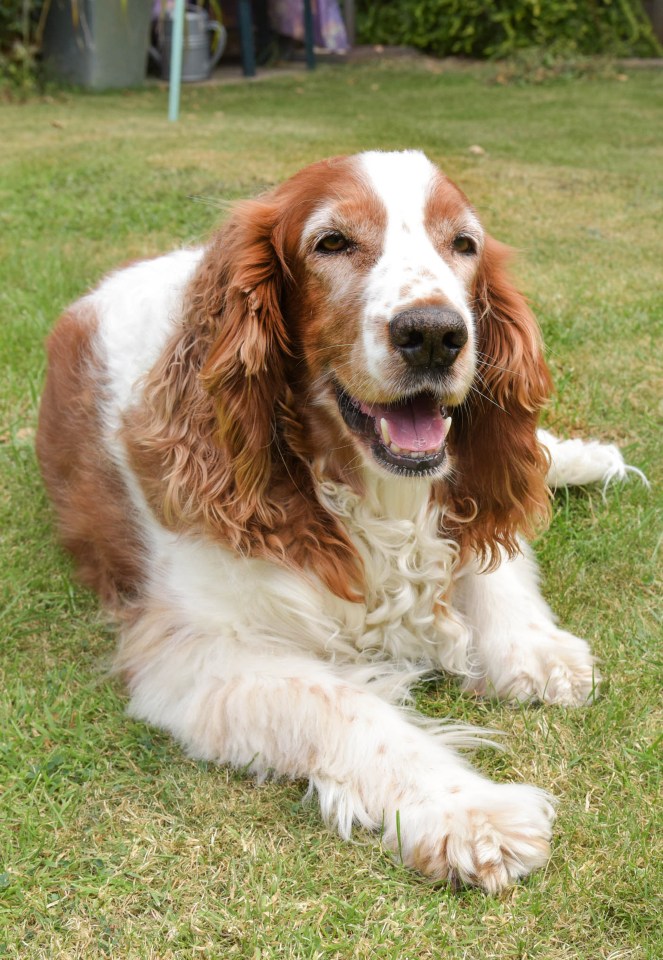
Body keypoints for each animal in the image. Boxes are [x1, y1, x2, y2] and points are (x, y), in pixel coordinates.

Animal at [35, 150, 632, 892]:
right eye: (332, 242)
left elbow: (492, 555)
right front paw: (465, 809)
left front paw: (531, 648)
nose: (433, 334)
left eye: (463, 244)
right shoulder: (193, 654)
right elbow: (346, 705)